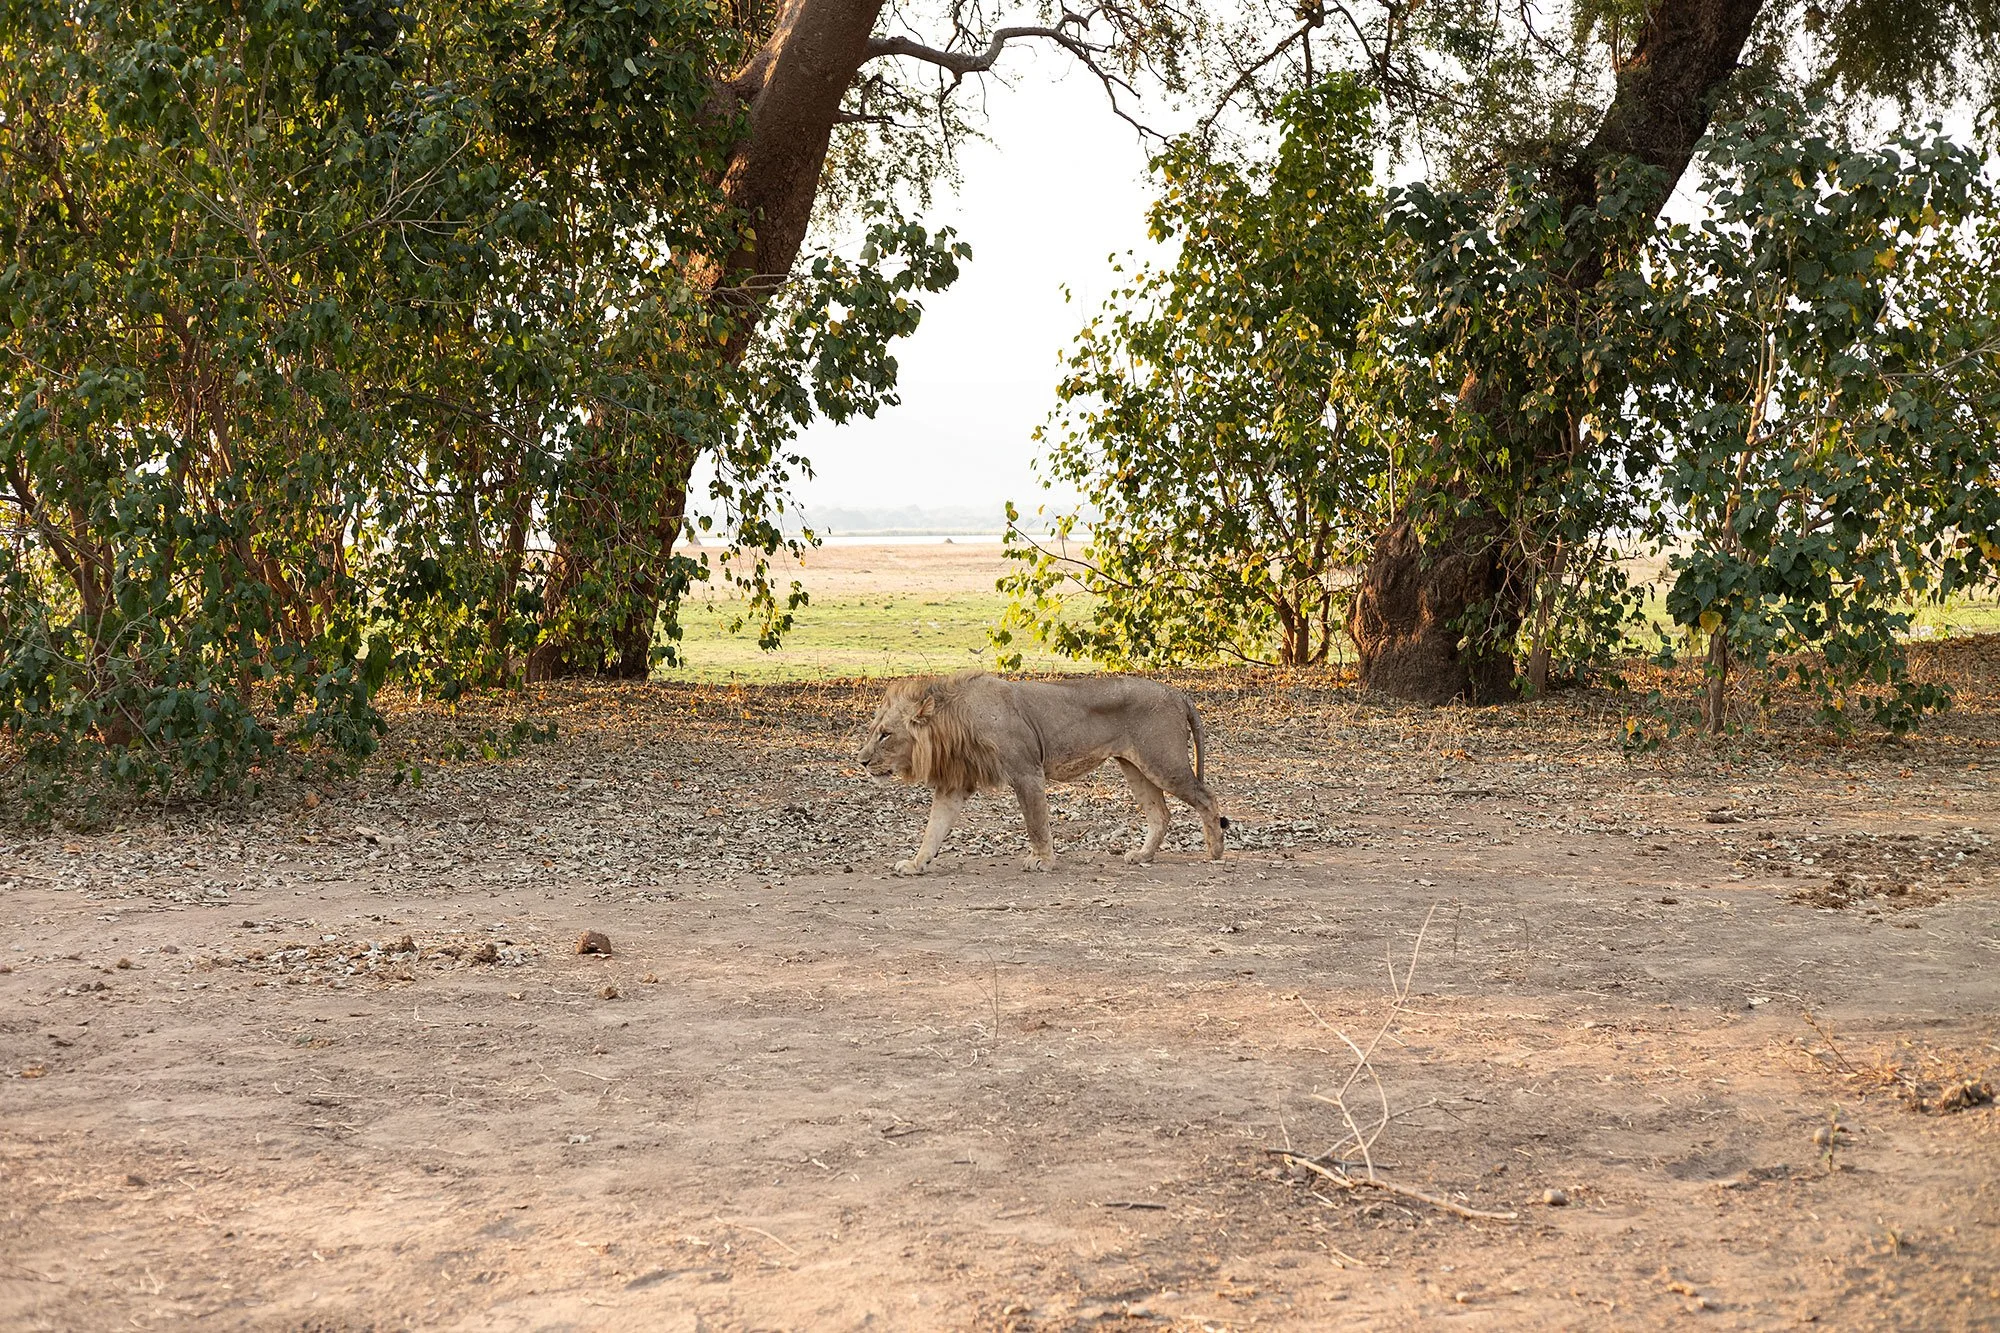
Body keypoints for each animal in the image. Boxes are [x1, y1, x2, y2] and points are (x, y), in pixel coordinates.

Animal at [858, 671, 1228, 875]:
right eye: (874, 731)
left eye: (885, 734)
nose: (860, 761)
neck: (953, 720)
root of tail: (1177, 693)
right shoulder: (955, 784)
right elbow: (933, 829)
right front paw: (916, 864)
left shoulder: (1026, 771)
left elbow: (1036, 822)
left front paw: (1043, 861)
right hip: (1136, 767)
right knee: (1160, 814)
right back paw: (1142, 855)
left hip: (1163, 761)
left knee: (1207, 798)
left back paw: (1214, 852)